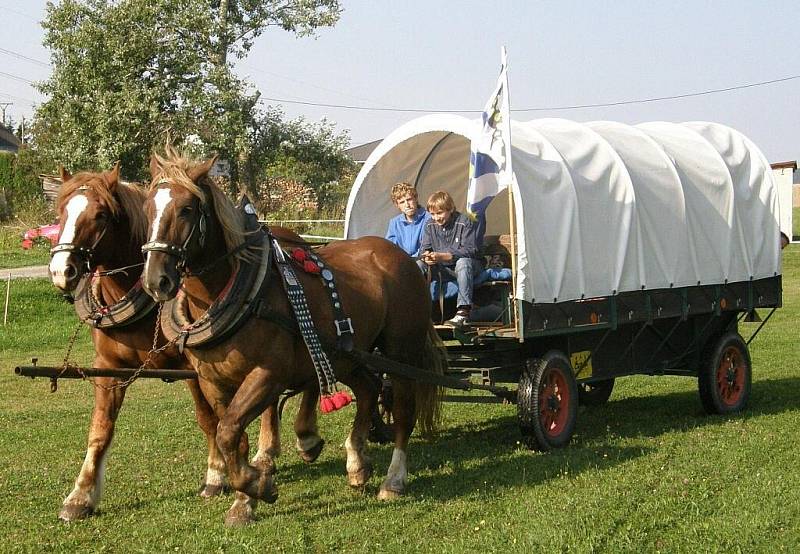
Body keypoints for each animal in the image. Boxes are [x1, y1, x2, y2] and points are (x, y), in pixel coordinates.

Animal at [47, 166, 318, 520]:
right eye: (61, 212)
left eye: (101, 214)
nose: (61, 270)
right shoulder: (108, 368)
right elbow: (100, 429)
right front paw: (80, 496)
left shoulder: (194, 367)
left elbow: (208, 420)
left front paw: (216, 476)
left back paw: (292, 444)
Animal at [141, 149, 446, 524]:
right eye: (147, 207)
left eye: (186, 208)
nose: (156, 280)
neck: (241, 294)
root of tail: (403, 257)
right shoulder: (214, 382)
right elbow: (235, 438)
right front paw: (245, 499)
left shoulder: (267, 376)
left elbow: (228, 432)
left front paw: (258, 485)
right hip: (346, 354)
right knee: (368, 387)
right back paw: (357, 463)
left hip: (400, 351)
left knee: (403, 410)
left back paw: (394, 480)